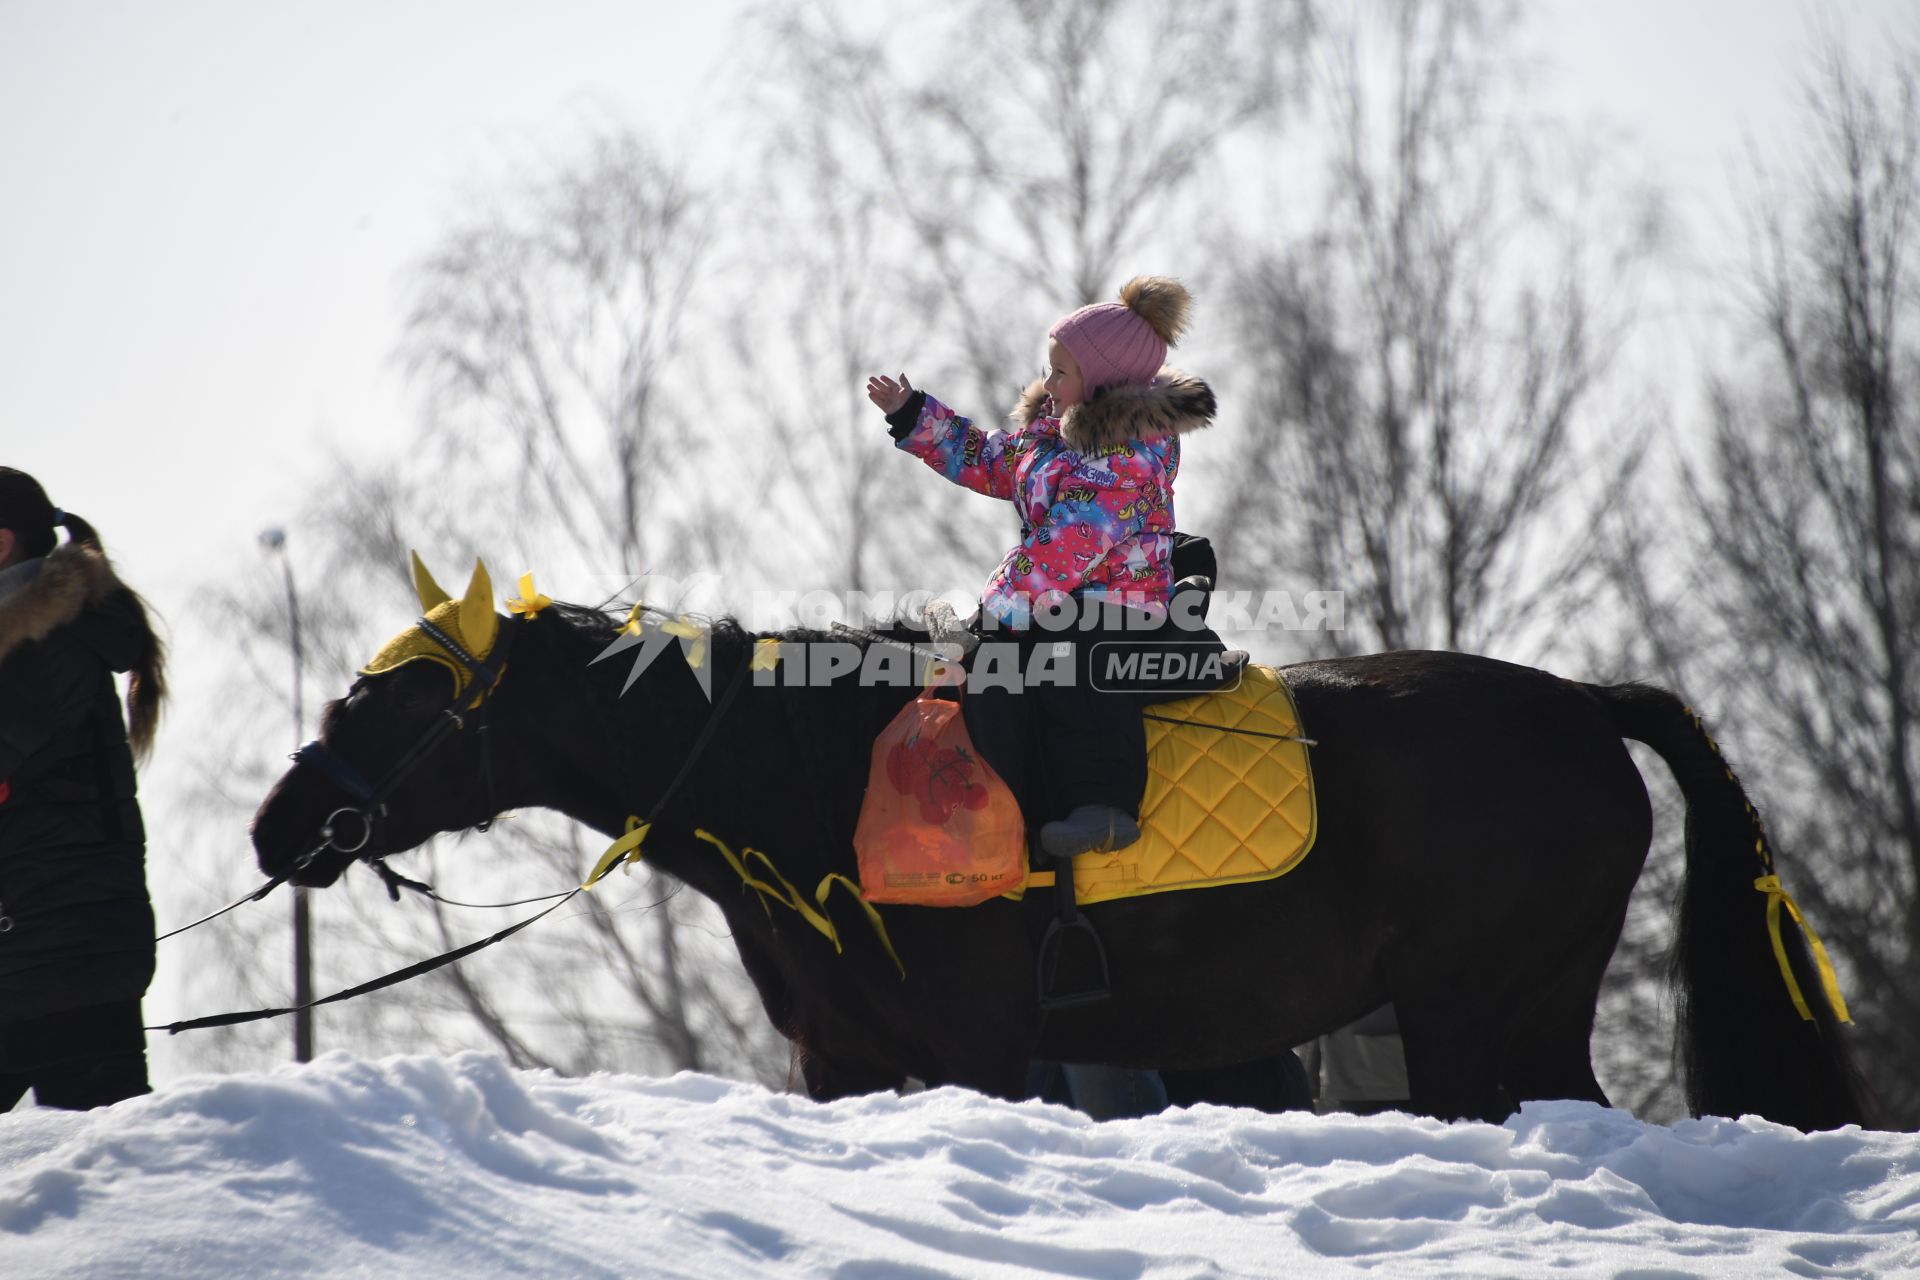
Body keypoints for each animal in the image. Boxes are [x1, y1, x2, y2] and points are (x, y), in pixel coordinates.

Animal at [247, 564, 1866, 1128]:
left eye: (403, 697)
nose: (281, 822)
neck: (817, 779)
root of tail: (1587, 705)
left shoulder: (977, 1049)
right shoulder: (844, 1061)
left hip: (1481, 1012)